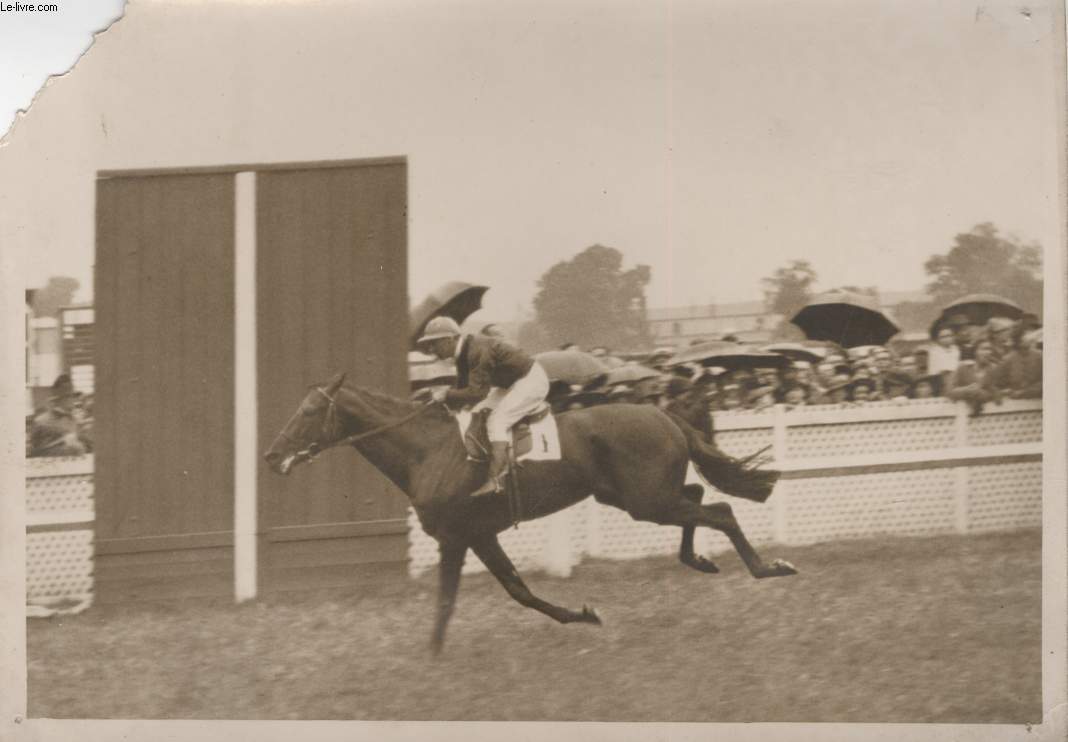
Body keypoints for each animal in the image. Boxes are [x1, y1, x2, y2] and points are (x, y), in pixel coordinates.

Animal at [262, 373, 794, 653]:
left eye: (308, 412)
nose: (271, 455)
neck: (427, 452)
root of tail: (663, 413)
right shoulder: (480, 536)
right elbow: (519, 591)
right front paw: (583, 614)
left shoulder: (456, 537)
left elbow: (449, 600)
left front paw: (432, 656)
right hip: (634, 497)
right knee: (701, 498)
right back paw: (700, 559)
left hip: (647, 500)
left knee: (720, 509)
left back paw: (769, 566)